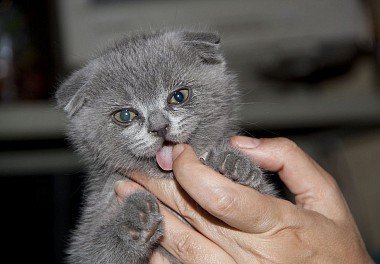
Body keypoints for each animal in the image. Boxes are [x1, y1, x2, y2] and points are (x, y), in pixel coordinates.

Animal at [55, 31, 276, 264]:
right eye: (125, 115)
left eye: (179, 96)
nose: (159, 126)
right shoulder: (92, 221)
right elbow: (95, 252)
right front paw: (136, 219)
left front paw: (233, 166)